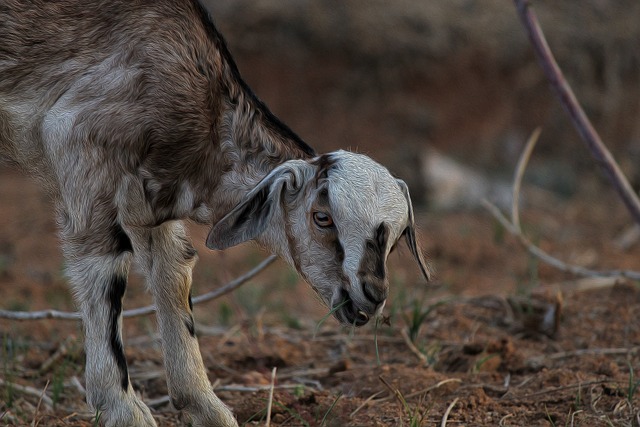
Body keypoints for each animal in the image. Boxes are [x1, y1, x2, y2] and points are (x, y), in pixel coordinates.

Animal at [1, 1, 430, 426]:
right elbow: (104, 273)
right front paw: (123, 408)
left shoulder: (145, 197)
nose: (373, 294)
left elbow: (174, 271)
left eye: (394, 241)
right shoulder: (80, 149)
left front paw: (203, 404)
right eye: (322, 217)